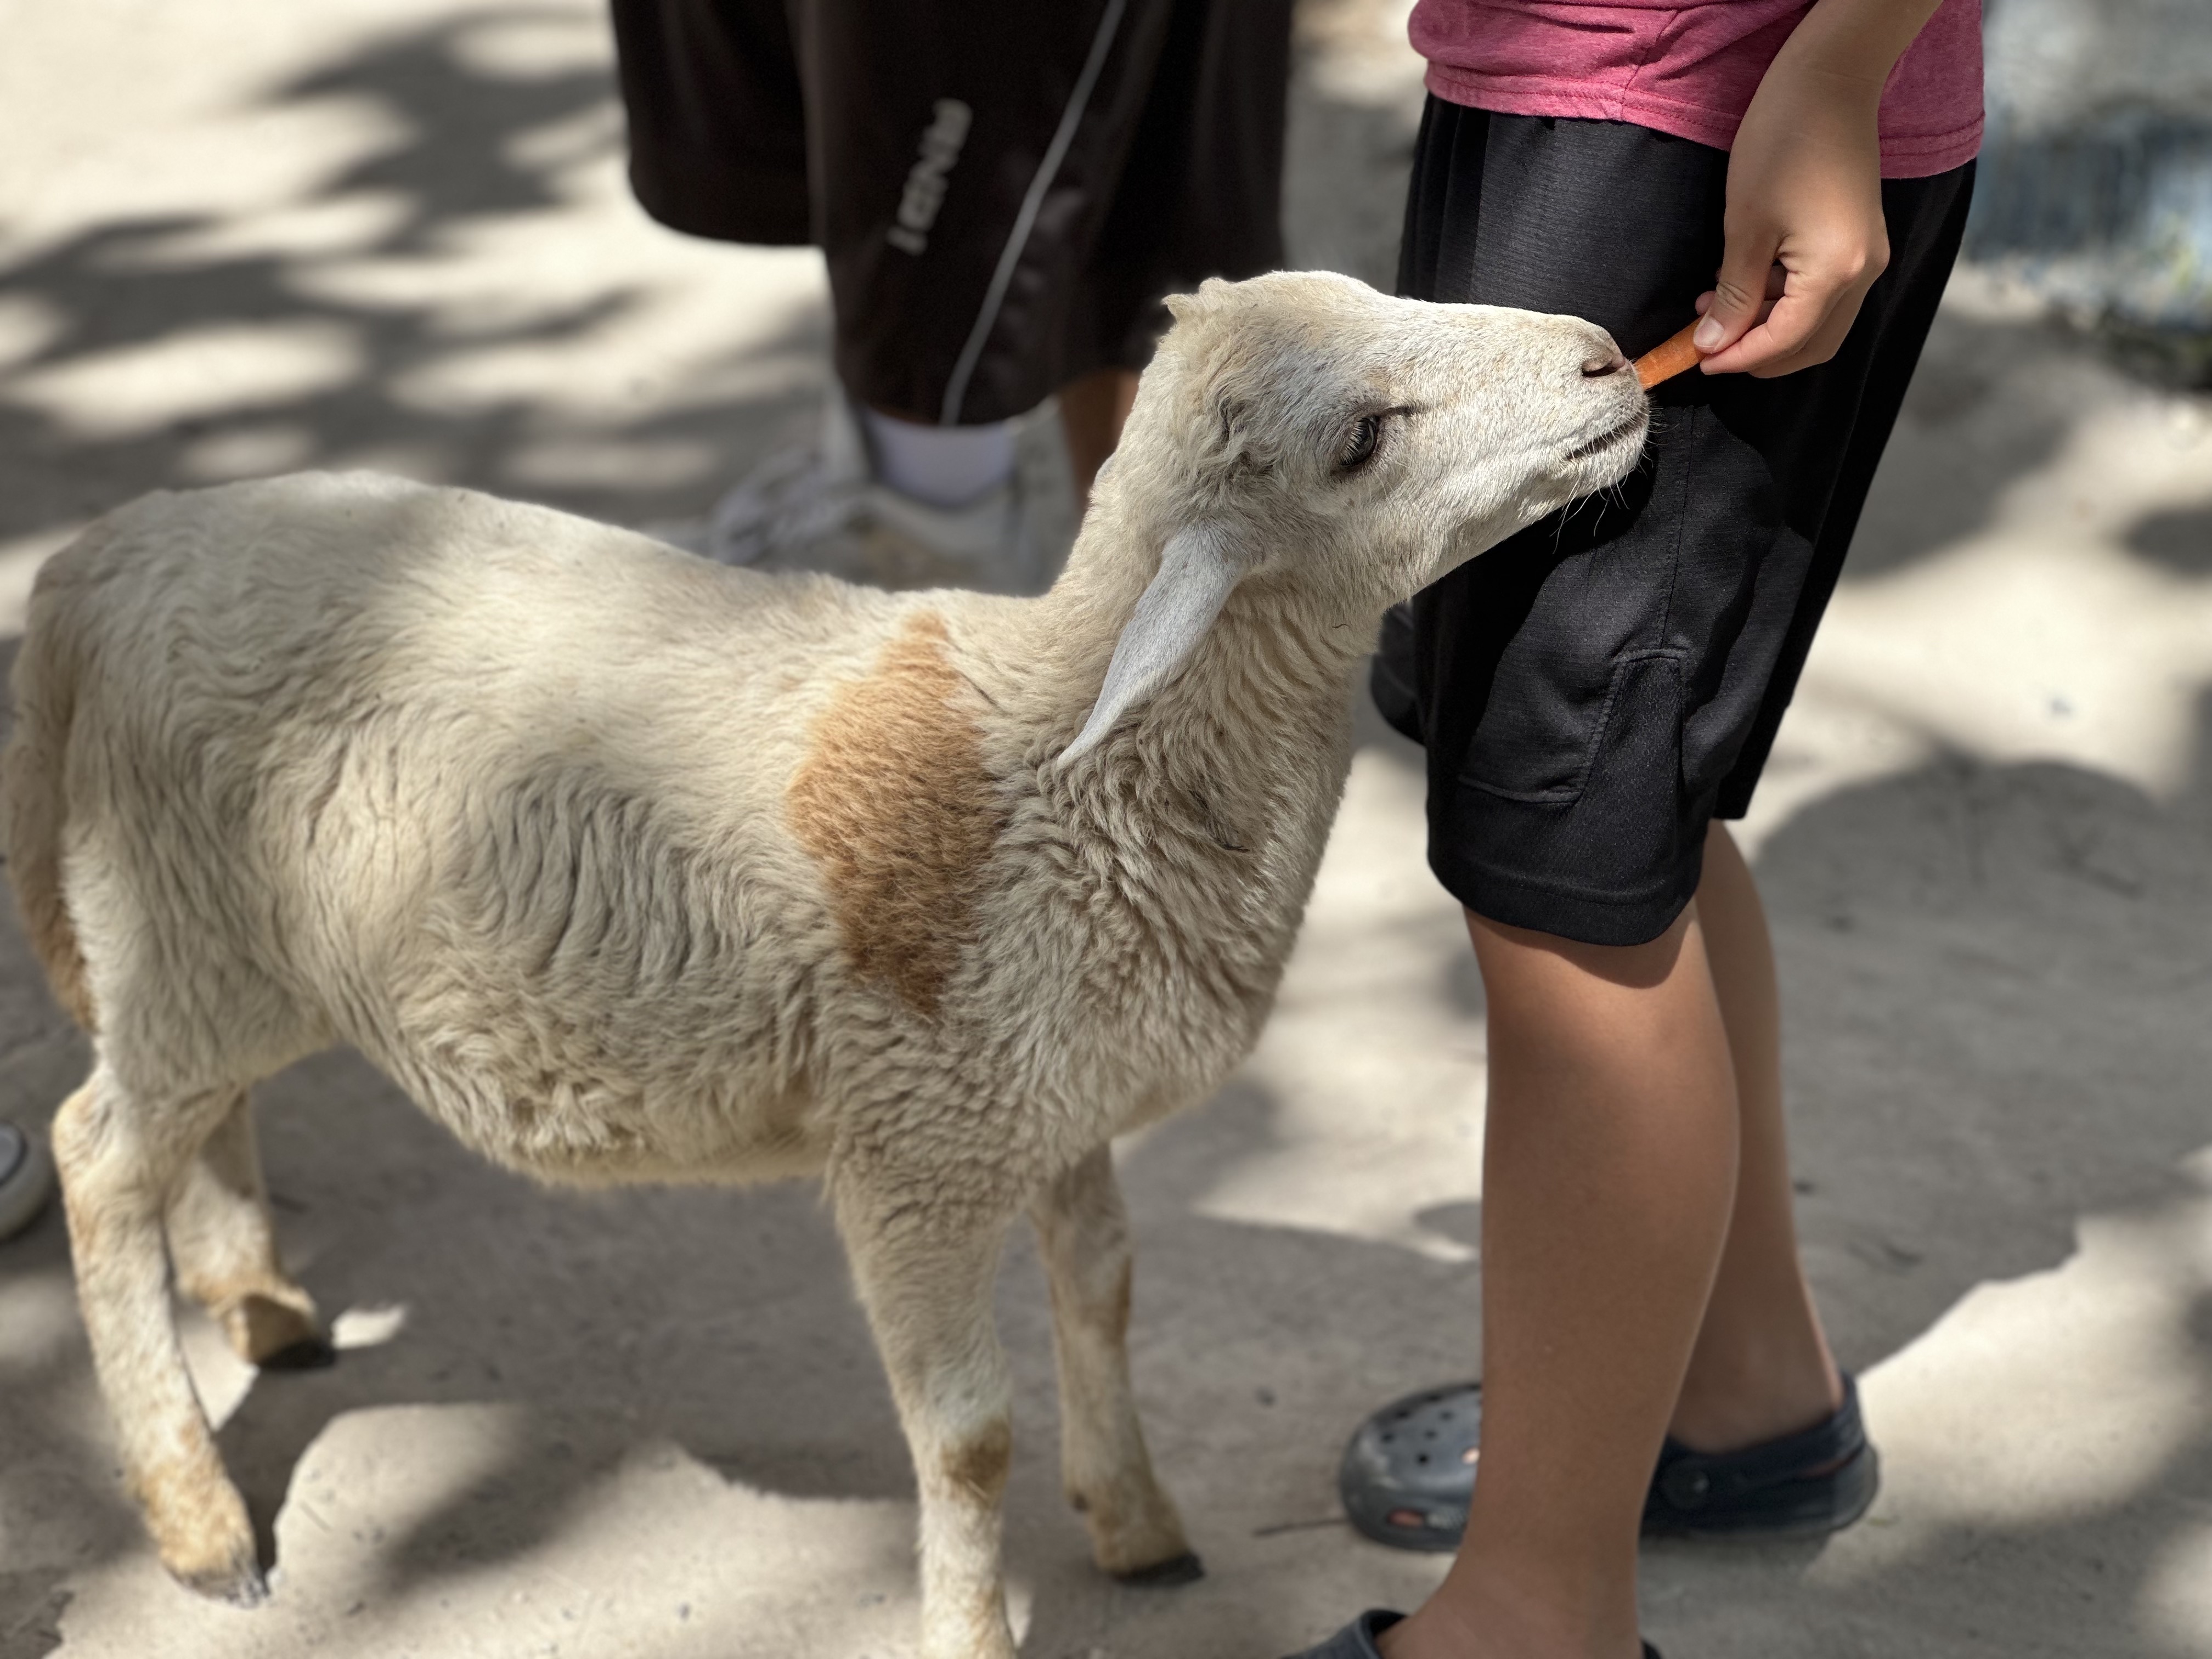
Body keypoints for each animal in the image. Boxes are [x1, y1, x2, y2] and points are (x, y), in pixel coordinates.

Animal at [13, 273, 1645, 1659]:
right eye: (1361, 440)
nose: (1609, 357)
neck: (1067, 760)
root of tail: (103, 560)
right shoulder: (915, 1147)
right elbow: (972, 1438)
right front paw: (975, 1628)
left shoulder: (1057, 1105)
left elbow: (1106, 1293)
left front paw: (1138, 1526)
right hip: (178, 933)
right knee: (98, 1157)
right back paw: (199, 1522)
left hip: (219, 949)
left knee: (198, 1125)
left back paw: (259, 1299)